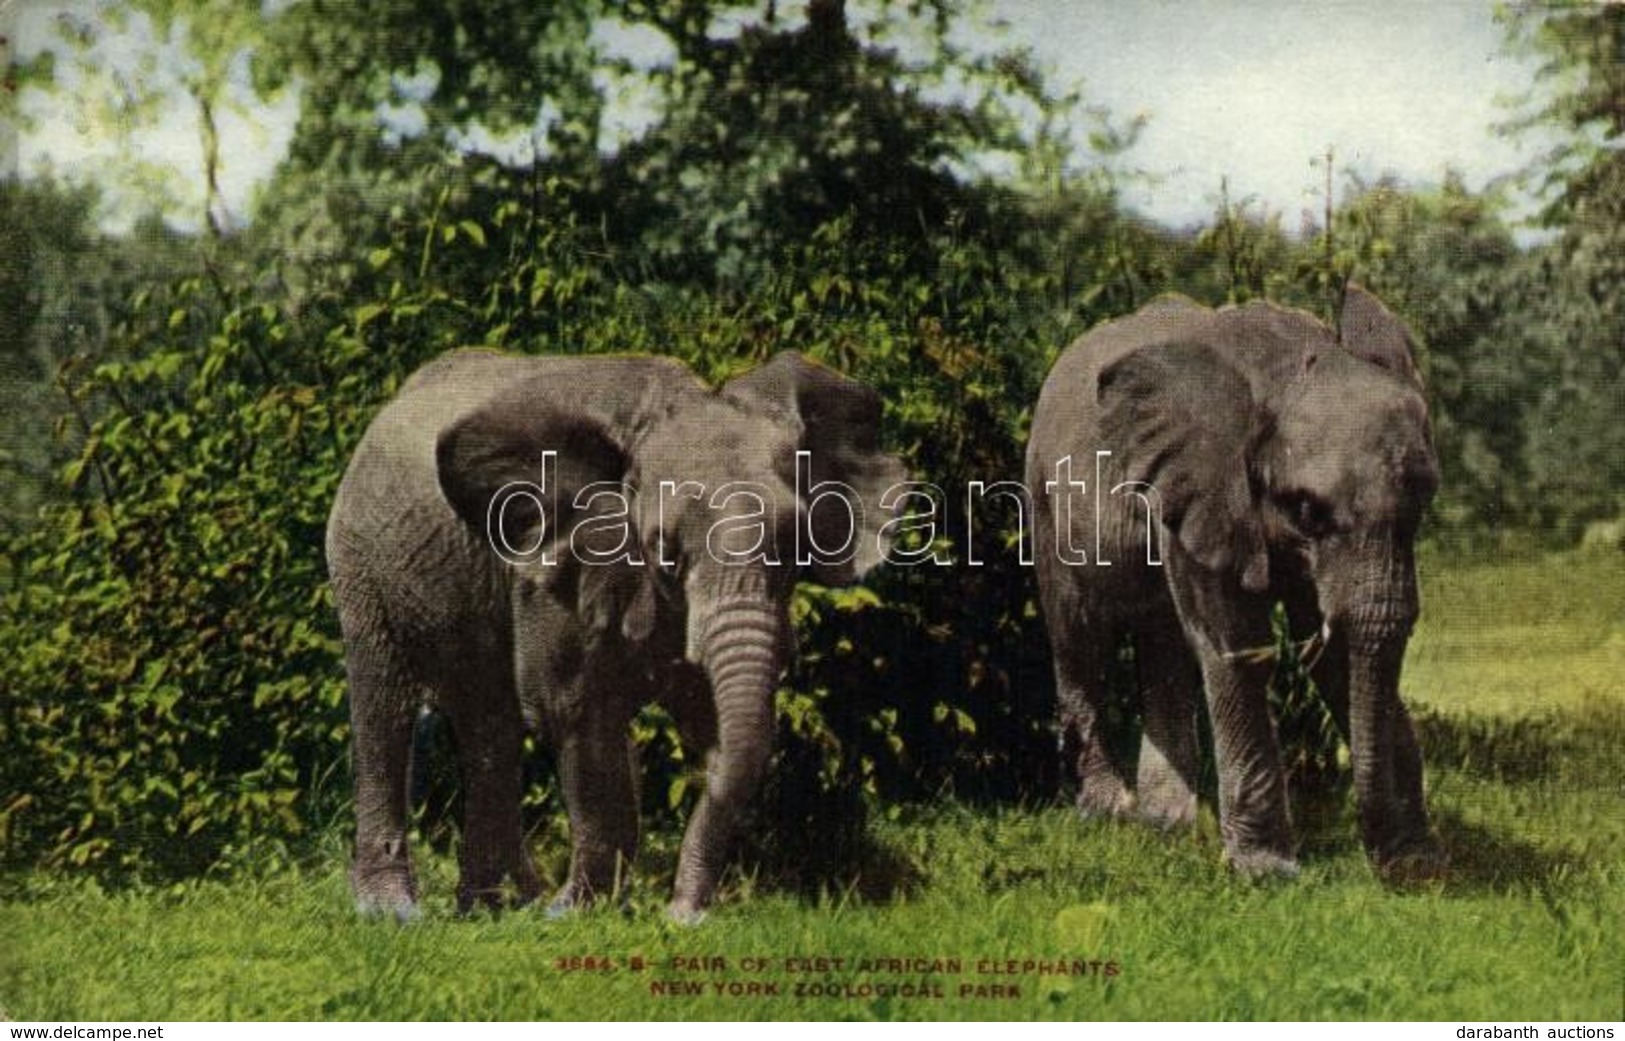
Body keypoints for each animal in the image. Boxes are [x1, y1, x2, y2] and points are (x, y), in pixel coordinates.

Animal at [323, 349, 910, 915]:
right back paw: (393, 912)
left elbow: (706, 717)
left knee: (488, 723)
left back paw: (492, 908)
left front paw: (626, 910)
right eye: (664, 552)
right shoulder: (558, 571)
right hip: (360, 559)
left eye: (793, 549)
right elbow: (572, 710)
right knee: (385, 706)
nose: (681, 911)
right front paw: (575, 914)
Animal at [1027, 289, 1449, 883]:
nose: (1391, 870)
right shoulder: (1208, 482)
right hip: (1045, 493)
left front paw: (1418, 862)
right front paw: (1266, 873)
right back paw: (1112, 813)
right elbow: (1239, 644)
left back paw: (1167, 825)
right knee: (1078, 634)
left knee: (1163, 641)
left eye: (1423, 500)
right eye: (1306, 509)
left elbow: (1334, 653)